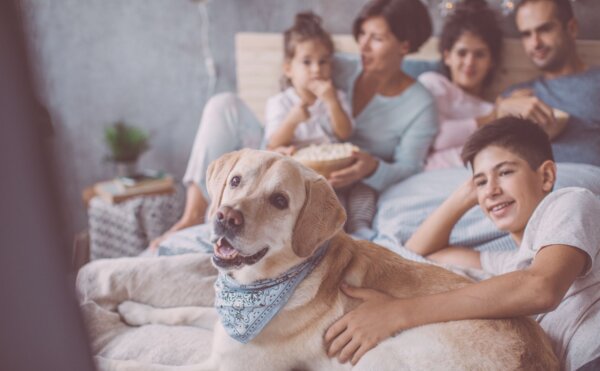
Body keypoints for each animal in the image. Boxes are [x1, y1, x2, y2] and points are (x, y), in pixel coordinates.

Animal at [113, 149, 556, 371]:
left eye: (280, 201)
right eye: (236, 181)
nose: (225, 216)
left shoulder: (227, 365)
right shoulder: (222, 330)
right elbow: (185, 311)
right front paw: (134, 309)